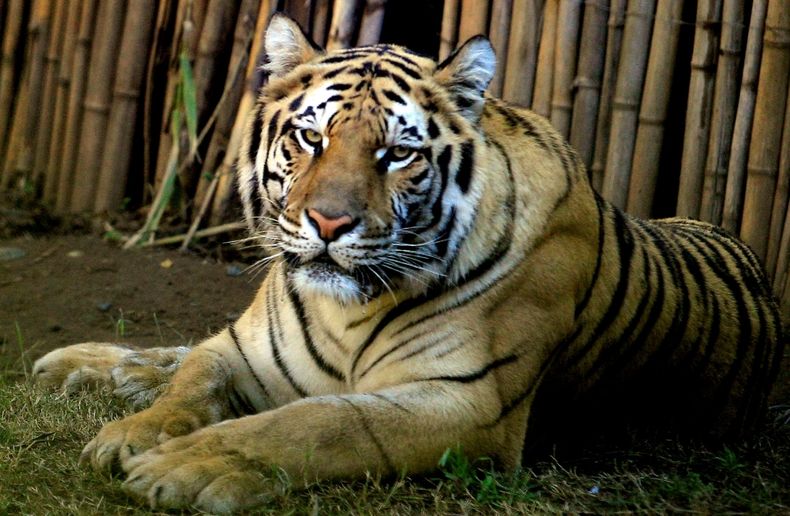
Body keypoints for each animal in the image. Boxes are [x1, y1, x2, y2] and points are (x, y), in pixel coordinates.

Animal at [32, 13, 784, 513]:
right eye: (311, 137)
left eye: (397, 154)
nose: (329, 223)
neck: (344, 311)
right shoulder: (241, 350)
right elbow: (190, 380)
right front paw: (131, 435)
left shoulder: (467, 403)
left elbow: (317, 422)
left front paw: (191, 465)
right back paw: (80, 368)